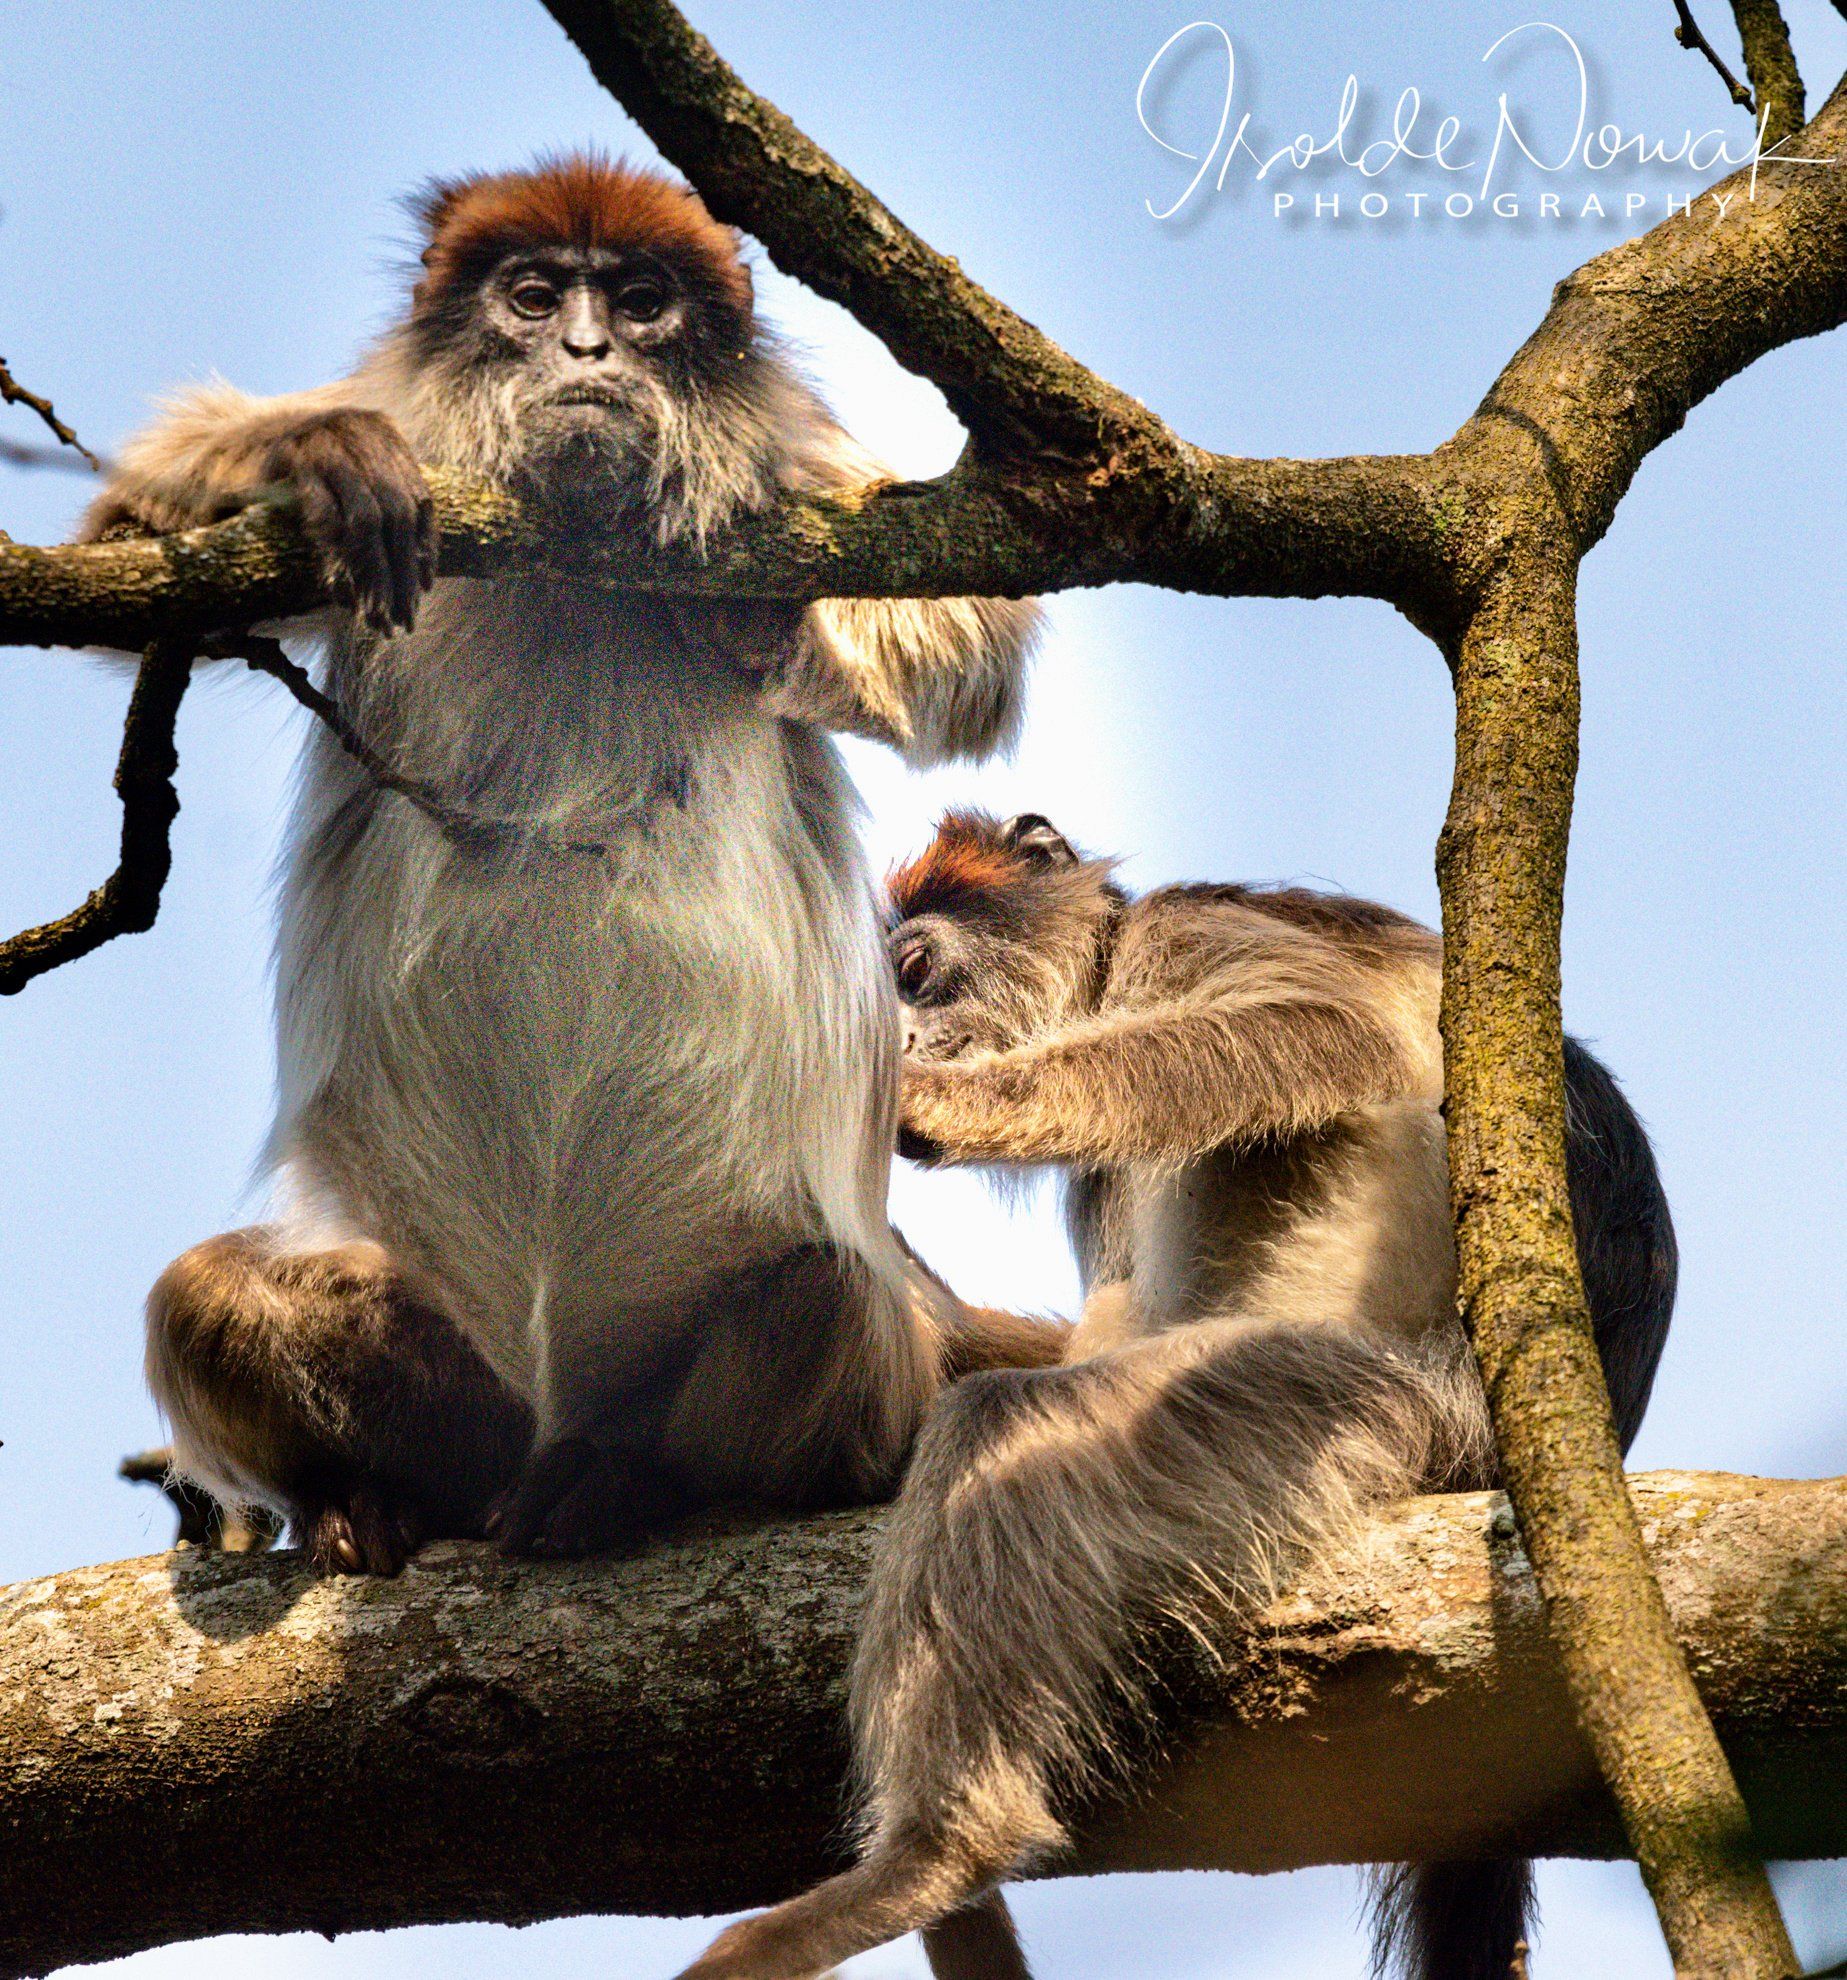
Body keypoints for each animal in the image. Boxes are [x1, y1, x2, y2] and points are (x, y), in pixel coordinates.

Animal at [83, 156, 1066, 1579]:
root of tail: (548, 1419)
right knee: (204, 1296)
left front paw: (750, 614)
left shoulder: (792, 464)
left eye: (641, 302)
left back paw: (626, 1482)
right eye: (537, 296)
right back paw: (367, 1496)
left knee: (818, 1298)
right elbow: (131, 554)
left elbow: (976, 636)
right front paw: (317, 456)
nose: (592, 351)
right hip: (453, 1383)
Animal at [677, 809, 1675, 1980]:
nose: (910, 1047)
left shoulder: (1185, 929)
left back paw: (932, 1860)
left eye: (917, 974)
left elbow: (1327, 1032)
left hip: (1353, 1404)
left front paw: (935, 1107)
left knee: (1015, 1429)